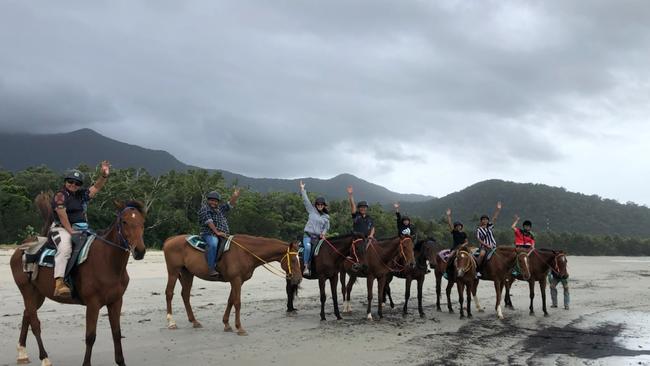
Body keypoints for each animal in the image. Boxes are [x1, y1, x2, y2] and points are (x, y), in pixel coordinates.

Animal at [9, 193, 146, 364]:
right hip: (27, 291)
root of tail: (20, 250)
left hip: (37, 294)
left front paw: (121, 362)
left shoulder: (116, 302)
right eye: (124, 221)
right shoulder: (93, 304)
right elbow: (90, 337)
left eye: (142, 222)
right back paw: (44, 358)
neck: (107, 261)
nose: (140, 251)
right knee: (35, 323)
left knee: (26, 315)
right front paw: (86, 363)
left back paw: (22, 352)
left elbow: (116, 334)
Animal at [165, 234, 302, 334]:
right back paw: (171, 322)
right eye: (293, 260)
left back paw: (194, 321)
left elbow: (230, 300)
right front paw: (239, 327)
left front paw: (226, 324)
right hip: (173, 271)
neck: (245, 253)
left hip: (187, 273)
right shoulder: (236, 279)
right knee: (169, 293)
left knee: (185, 294)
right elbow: (237, 302)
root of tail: (169, 240)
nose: (299, 278)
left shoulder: (238, 281)